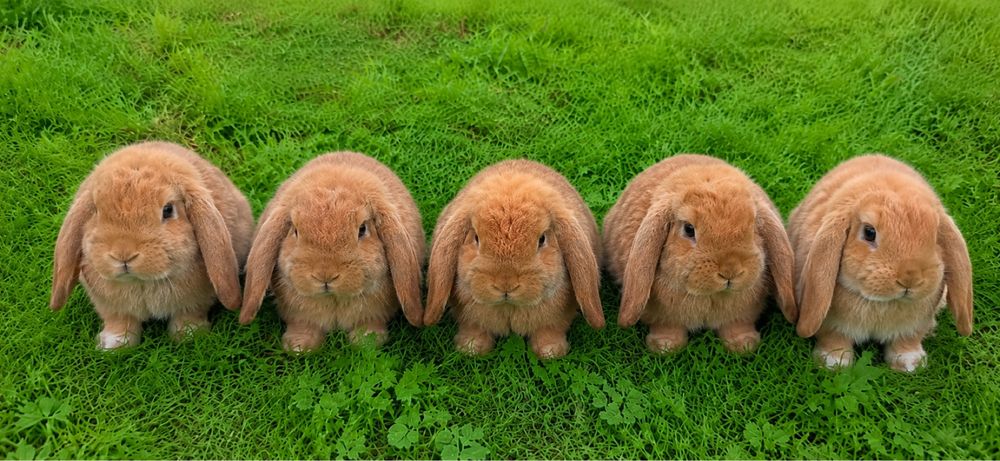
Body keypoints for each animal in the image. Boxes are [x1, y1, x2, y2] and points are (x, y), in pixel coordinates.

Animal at [50, 141, 254, 349]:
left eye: (168, 210)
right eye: (96, 211)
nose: (123, 254)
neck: (142, 283)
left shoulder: (196, 300)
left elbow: (188, 315)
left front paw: (189, 336)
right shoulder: (112, 307)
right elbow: (120, 322)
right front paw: (114, 346)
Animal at [239, 152, 425, 352]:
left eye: (362, 229)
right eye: (295, 230)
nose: (325, 276)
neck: (334, 300)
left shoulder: (374, 313)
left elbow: (369, 324)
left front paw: (366, 343)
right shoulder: (300, 315)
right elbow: (303, 324)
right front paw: (299, 347)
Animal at [422, 159, 604, 360]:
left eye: (542, 239)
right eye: (476, 238)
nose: (506, 285)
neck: (509, 307)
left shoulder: (557, 317)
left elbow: (549, 330)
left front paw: (551, 352)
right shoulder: (469, 316)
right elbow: (474, 328)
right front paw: (471, 348)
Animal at [604, 154, 797, 354]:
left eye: (753, 227)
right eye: (689, 229)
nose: (730, 271)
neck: (710, 296)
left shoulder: (742, 313)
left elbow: (736, 325)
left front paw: (743, 345)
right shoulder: (664, 316)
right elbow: (667, 327)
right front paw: (665, 347)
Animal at [790, 154, 973, 372]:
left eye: (936, 236)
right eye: (869, 232)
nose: (910, 279)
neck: (882, 303)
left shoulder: (912, 326)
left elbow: (907, 341)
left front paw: (909, 364)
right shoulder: (831, 324)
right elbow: (834, 339)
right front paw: (833, 363)